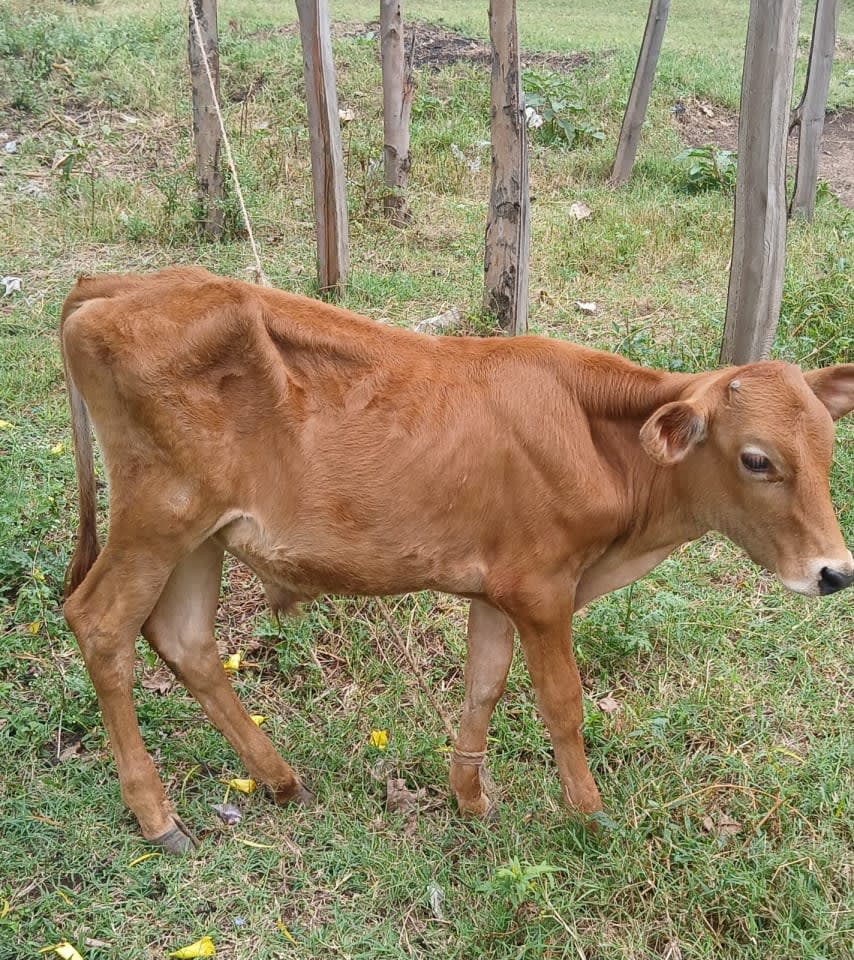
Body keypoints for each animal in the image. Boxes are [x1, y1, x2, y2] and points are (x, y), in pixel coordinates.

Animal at [60, 267, 854, 852]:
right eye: (757, 459)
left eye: (827, 446)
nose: (834, 571)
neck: (600, 442)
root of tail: (112, 282)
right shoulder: (542, 589)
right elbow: (561, 703)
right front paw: (591, 818)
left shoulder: (498, 589)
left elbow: (484, 685)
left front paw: (470, 798)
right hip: (160, 514)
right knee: (101, 624)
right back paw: (157, 817)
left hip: (201, 535)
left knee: (185, 640)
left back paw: (280, 779)